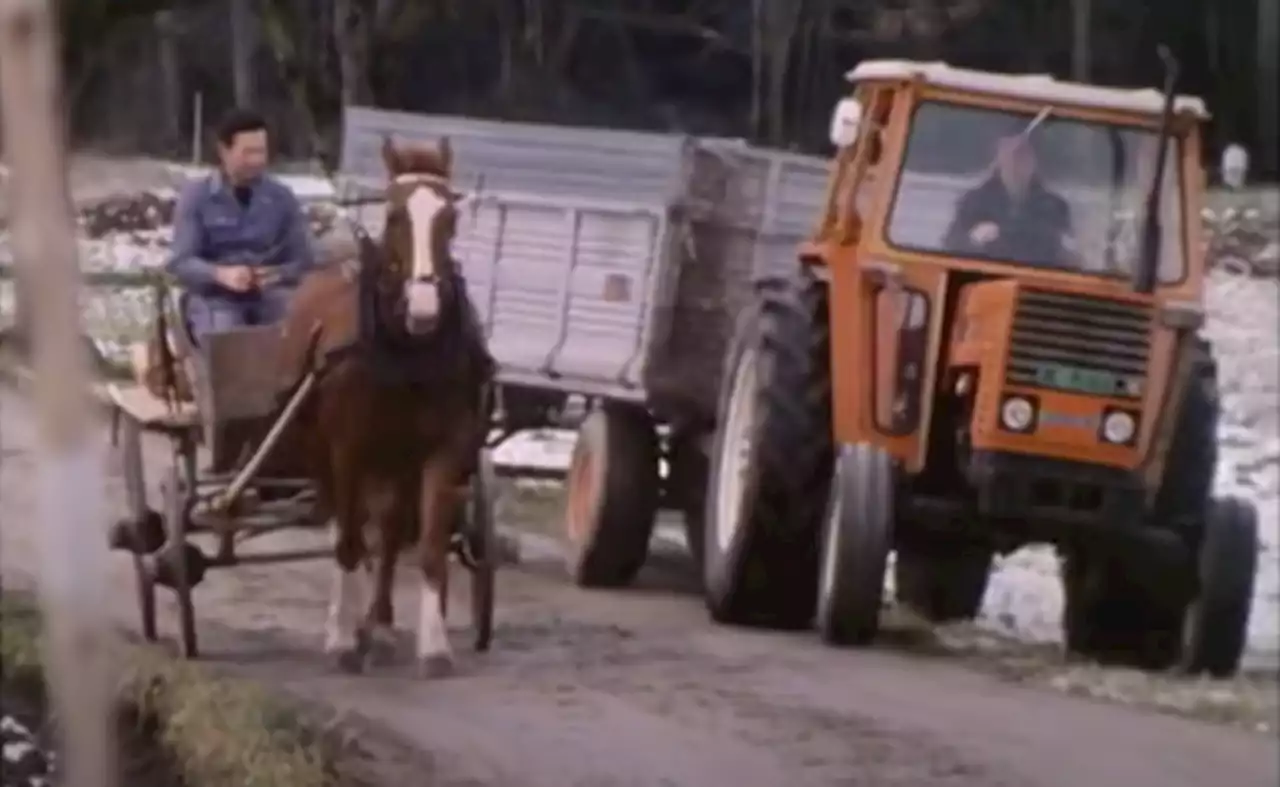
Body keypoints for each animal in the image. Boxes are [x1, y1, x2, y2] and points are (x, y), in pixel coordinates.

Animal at [270, 136, 494, 675]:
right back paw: (347, 625)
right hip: (323, 453)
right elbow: (348, 541)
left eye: (450, 217)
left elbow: (427, 546)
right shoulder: (348, 451)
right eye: (393, 215)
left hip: (397, 460)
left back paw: (383, 625)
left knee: (389, 532)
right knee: (344, 527)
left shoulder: (442, 449)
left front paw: (432, 646)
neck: (404, 351)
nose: (424, 308)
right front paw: (341, 639)